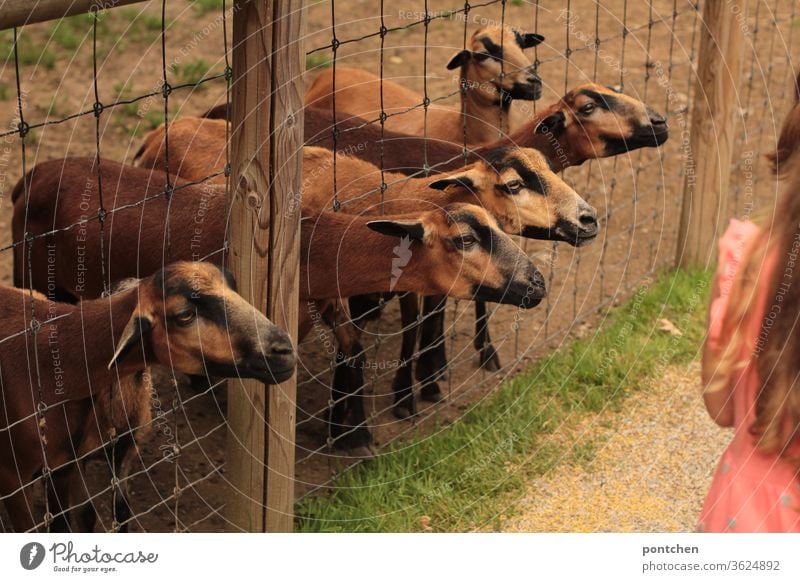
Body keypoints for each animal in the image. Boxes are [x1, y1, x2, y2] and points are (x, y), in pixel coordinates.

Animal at [0, 264, 294, 532]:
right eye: (184, 315)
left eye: (232, 286)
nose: (284, 350)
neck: (52, 364)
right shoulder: (14, 478)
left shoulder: (67, 465)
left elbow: (80, 519)